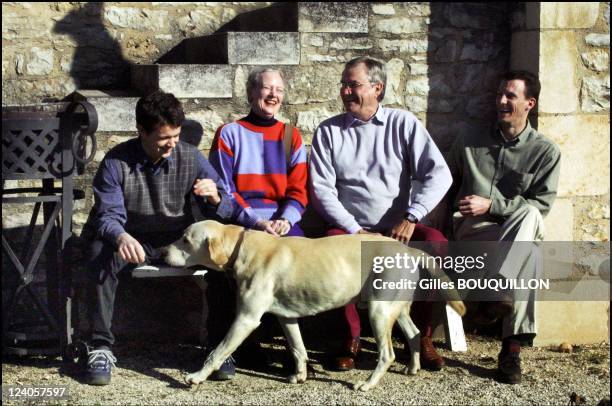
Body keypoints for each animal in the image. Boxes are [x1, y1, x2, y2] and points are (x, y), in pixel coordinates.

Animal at [164, 220, 464, 392]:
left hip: (378, 312)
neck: (241, 246)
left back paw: (367, 384)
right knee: (414, 334)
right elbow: (298, 349)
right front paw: (299, 376)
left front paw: (195, 377)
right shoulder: (287, 318)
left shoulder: (247, 318)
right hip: (395, 308)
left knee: (387, 354)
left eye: (185, 239)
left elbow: (217, 351)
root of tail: (409, 250)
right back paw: (413, 368)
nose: (161, 251)